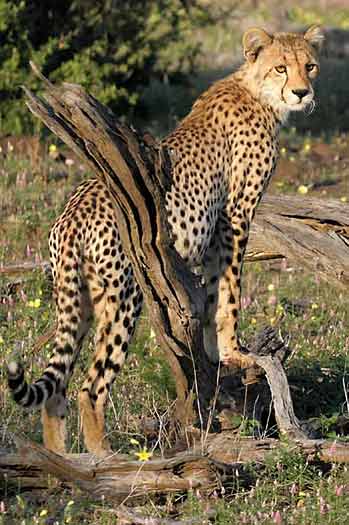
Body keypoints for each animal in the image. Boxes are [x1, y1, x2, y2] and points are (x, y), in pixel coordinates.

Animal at [7, 25, 324, 454]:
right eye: (281, 67)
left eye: (310, 65)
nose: (302, 92)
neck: (257, 92)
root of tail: (71, 214)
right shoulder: (234, 217)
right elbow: (229, 292)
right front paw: (233, 351)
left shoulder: (217, 230)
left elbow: (212, 292)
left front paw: (215, 352)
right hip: (124, 297)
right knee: (91, 387)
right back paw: (104, 459)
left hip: (80, 298)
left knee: (57, 388)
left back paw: (63, 460)